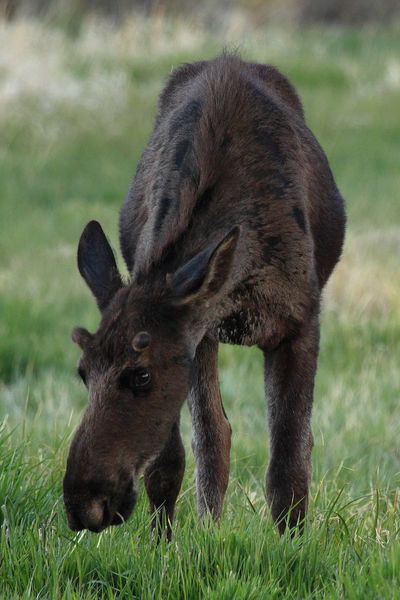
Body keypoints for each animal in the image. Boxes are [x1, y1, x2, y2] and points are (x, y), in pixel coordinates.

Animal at [64, 54, 346, 536]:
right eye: (84, 372)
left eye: (141, 375)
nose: (84, 505)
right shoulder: (198, 335)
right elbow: (181, 455)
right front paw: (171, 541)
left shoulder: (300, 322)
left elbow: (289, 459)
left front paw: (292, 543)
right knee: (213, 437)